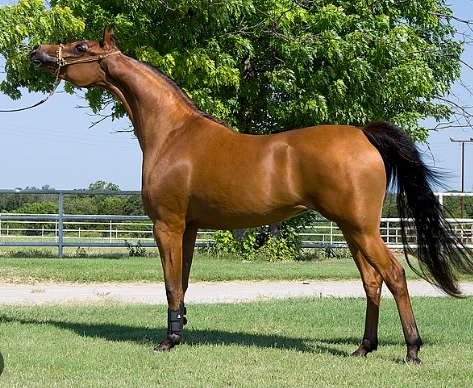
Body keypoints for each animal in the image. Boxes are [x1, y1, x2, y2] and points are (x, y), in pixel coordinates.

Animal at [30, 28, 472, 364]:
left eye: (80, 47)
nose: (38, 53)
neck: (173, 133)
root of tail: (363, 134)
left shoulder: (166, 225)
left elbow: (171, 284)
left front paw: (167, 341)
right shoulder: (189, 228)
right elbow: (183, 283)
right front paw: (179, 332)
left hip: (362, 228)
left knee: (394, 275)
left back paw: (412, 350)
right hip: (351, 230)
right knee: (371, 281)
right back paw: (363, 348)